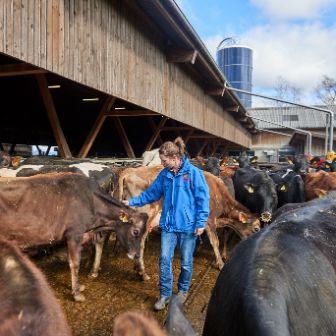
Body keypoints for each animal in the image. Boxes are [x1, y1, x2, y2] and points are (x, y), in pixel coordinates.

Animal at [113, 166, 260, 280]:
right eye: (257, 228)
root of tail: (130, 170)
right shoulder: (209, 220)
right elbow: (215, 242)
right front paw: (220, 263)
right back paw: (142, 273)